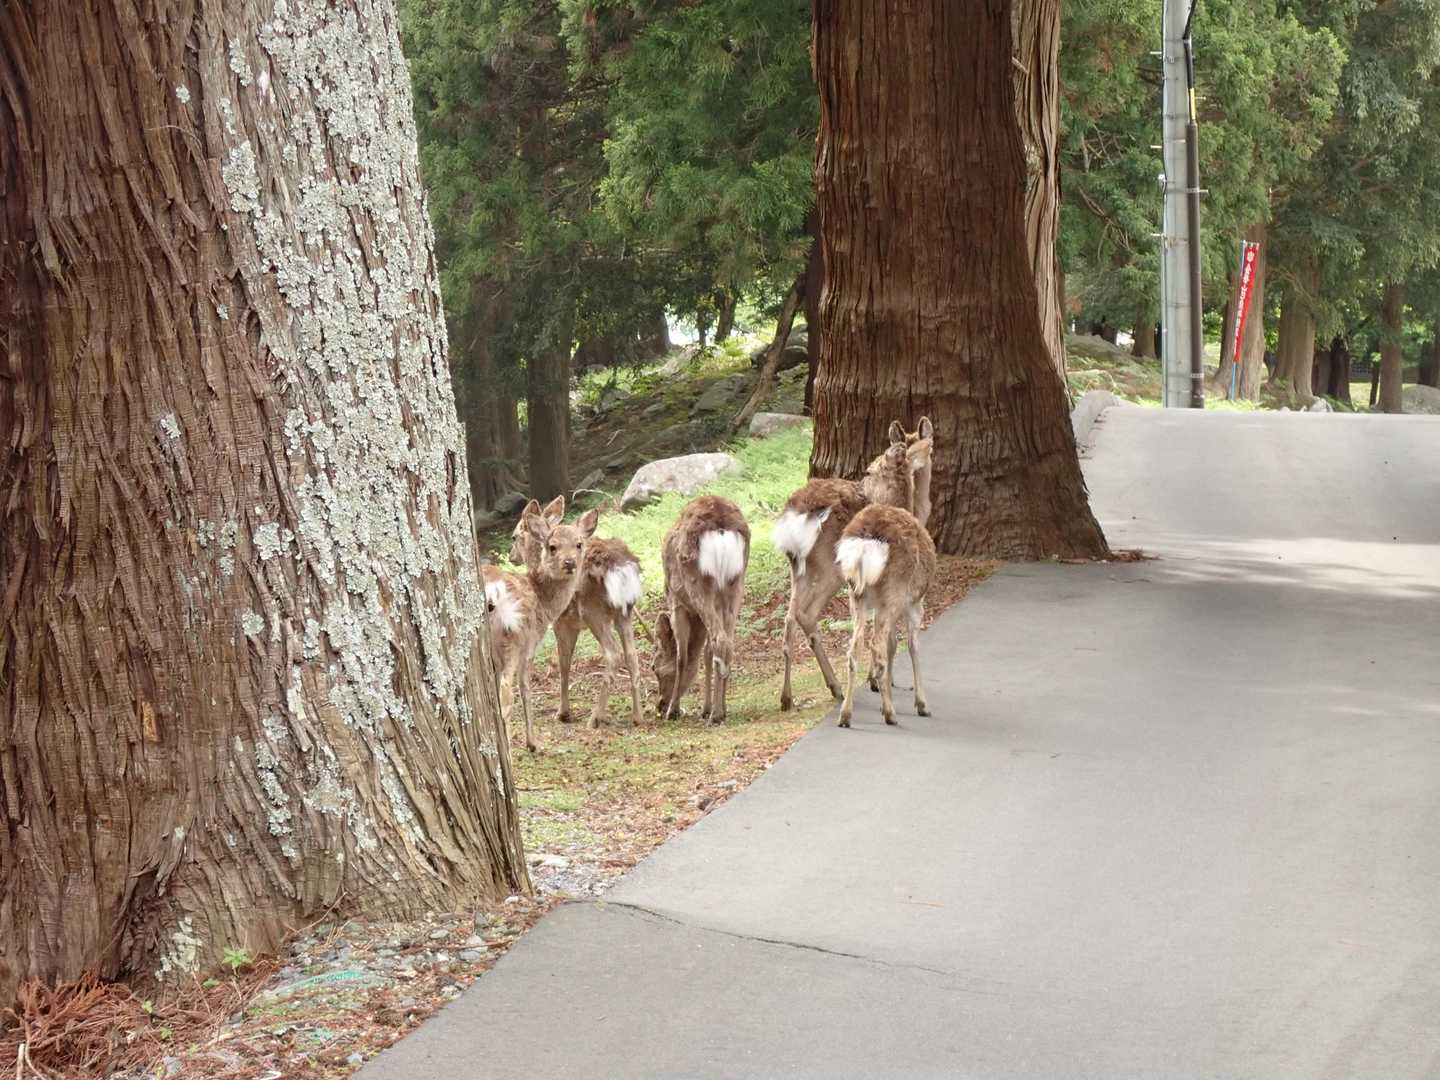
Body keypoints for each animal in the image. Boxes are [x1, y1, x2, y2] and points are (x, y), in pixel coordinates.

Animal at [482, 501, 599, 752]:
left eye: (579, 544)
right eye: (552, 547)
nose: (569, 563)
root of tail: (492, 593)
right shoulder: (530, 644)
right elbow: (526, 688)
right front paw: (533, 742)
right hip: (512, 636)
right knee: (506, 695)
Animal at [508, 497, 644, 730]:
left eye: (515, 536)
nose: (511, 556)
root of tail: (621, 566)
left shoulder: (562, 622)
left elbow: (564, 664)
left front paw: (563, 713)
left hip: (593, 611)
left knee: (613, 653)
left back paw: (595, 718)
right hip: (624, 611)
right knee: (632, 656)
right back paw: (637, 717)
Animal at [654, 495, 750, 724]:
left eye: (654, 668)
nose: (660, 705)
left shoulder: (677, 603)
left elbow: (682, 656)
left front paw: (674, 710)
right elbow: (706, 654)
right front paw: (706, 708)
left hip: (698, 584)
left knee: (720, 640)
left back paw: (715, 715)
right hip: (735, 584)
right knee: (727, 641)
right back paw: (719, 710)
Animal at [772, 418, 932, 711]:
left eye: (931, 446)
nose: (918, 465)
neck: (916, 511)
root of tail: (793, 516)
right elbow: (887, 634)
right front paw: (879, 680)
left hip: (797, 568)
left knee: (789, 619)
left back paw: (789, 697)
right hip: (829, 567)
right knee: (806, 613)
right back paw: (835, 688)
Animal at [835, 503, 936, 728]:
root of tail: (865, 544)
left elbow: (893, 645)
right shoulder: (914, 604)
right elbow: (912, 646)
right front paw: (922, 704)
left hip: (856, 595)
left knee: (855, 647)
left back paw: (845, 715)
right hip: (893, 592)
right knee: (875, 646)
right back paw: (890, 714)